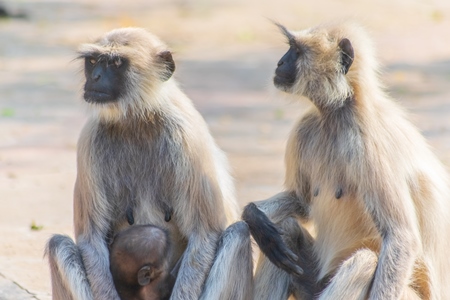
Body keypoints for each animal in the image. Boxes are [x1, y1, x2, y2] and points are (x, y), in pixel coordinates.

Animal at [45, 28, 253, 300]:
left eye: (116, 63)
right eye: (92, 61)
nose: (96, 77)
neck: (137, 118)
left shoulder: (185, 136)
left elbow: (204, 234)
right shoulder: (90, 138)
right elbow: (91, 238)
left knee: (238, 234)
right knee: (59, 244)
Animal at [243, 21, 450, 300]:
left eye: (296, 51)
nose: (280, 62)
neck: (340, 111)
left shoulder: (368, 141)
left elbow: (401, 237)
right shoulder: (306, 128)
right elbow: (301, 201)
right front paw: (254, 217)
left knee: (365, 261)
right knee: (287, 231)